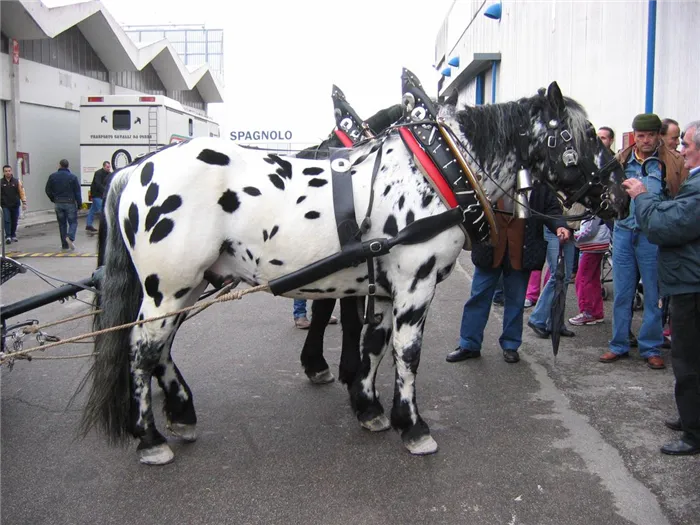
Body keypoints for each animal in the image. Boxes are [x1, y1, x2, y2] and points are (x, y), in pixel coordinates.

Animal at [78, 68, 628, 462]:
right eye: (584, 138)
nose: (621, 197)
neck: (437, 170)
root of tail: (134, 169)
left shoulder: (384, 287)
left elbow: (374, 344)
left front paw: (369, 408)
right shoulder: (415, 285)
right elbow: (407, 352)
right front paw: (414, 427)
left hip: (182, 288)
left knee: (159, 348)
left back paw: (182, 413)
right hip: (169, 287)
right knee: (143, 350)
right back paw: (150, 439)